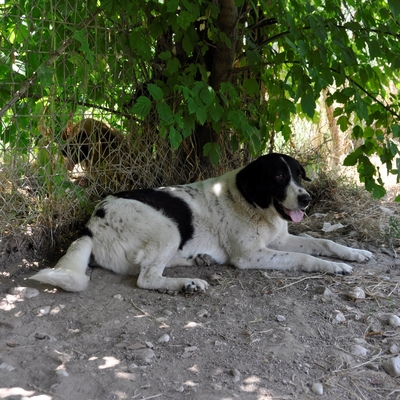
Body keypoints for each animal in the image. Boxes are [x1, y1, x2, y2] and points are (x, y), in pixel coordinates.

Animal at [30, 153, 372, 294]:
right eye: (278, 176)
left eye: (299, 175)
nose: (306, 199)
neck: (250, 202)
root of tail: (90, 223)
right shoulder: (250, 256)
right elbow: (304, 257)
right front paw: (332, 267)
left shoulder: (280, 239)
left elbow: (324, 242)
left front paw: (352, 255)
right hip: (168, 227)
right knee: (146, 277)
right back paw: (187, 284)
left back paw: (198, 261)